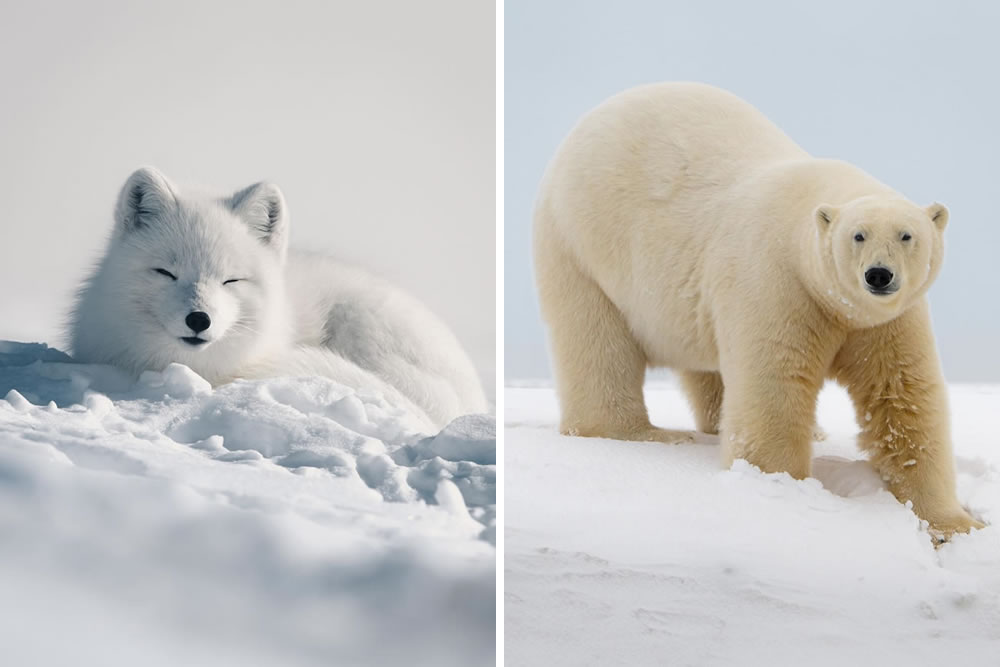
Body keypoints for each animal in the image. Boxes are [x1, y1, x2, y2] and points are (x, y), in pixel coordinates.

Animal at [536, 82, 980, 536]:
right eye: (858, 235)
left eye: (907, 235)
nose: (878, 275)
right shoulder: (778, 283)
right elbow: (774, 387)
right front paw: (781, 490)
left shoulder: (888, 321)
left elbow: (903, 397)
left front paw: (953, 524)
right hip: (581, 247)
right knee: (598, 345)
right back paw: (644, 434)